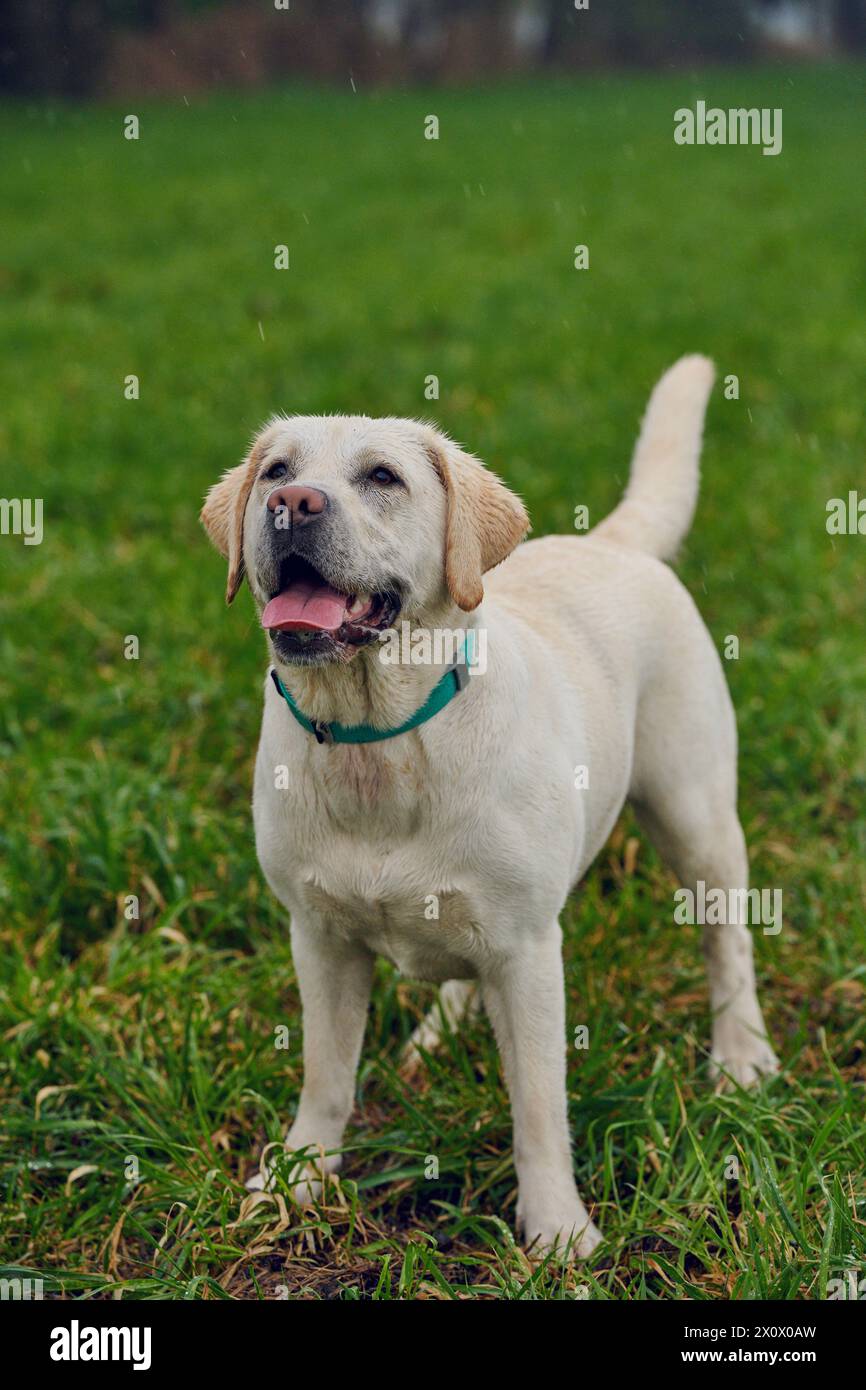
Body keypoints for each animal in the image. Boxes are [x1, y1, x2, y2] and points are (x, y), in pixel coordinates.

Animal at [201, 353, 778, 1256]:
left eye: (382, 476)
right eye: (276, 470)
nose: (290, 505)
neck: (381, 740)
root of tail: (609, 541)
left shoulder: (530, 953)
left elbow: (538, 1105)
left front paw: (557, 1230)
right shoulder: (319, 937)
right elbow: (326, 1077)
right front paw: (296, 1183)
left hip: (696, 816)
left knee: (728, 940)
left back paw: (741, 1053)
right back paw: (439, 1033)